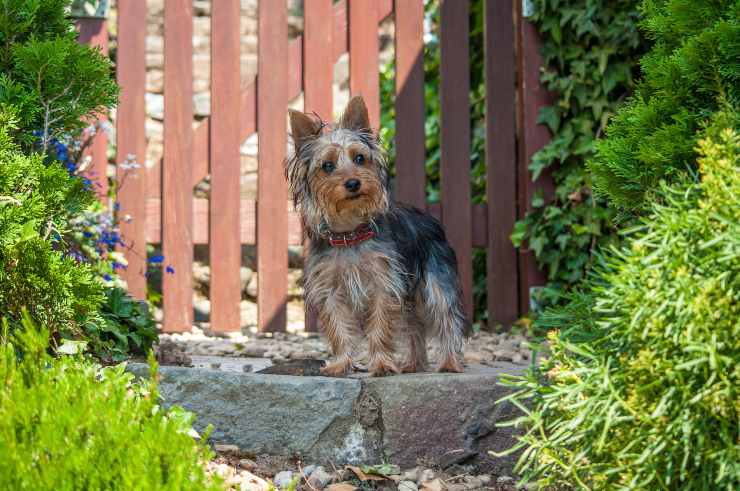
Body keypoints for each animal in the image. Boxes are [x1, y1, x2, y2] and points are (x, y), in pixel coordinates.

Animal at [286, 98, 466, 378]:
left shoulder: (385, 283)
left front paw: (381, 364)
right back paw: (414, 364)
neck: (350, 234)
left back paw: (448, 362)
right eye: (327, 166)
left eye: (359, 158)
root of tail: (432, 219)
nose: (353, 183)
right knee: (414, 325)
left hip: (436, 279)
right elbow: (338, 327)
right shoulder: (330, 289)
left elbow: (381, 326)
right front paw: (341, 364)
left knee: (446, 318)